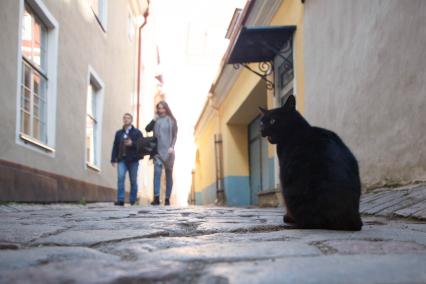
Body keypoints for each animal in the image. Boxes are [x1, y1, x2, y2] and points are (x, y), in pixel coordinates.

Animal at [260, 95, 362, 231]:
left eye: (272, 121)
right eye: (261, 122)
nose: (262, 130)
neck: (296, 130)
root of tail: (351, 219)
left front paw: (288, 216)